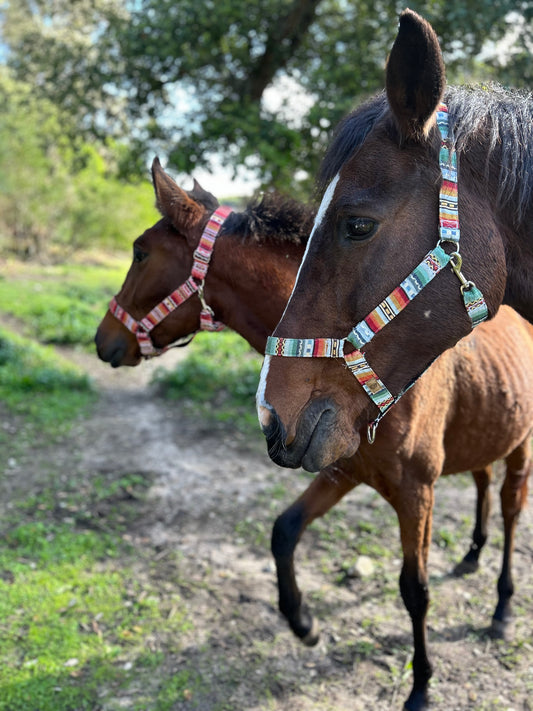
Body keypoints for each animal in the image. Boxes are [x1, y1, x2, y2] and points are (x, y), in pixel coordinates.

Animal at [96, 161, 532, 711]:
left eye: (139, 252)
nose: (102, 340)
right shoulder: (341, 470)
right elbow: (284, 530)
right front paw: (303, 623)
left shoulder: (416, 493)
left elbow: (415, 590)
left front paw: (421, 685)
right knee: (482, 486)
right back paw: (471, 557)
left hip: (522, 449)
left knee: (511, 510)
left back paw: (502, 610)